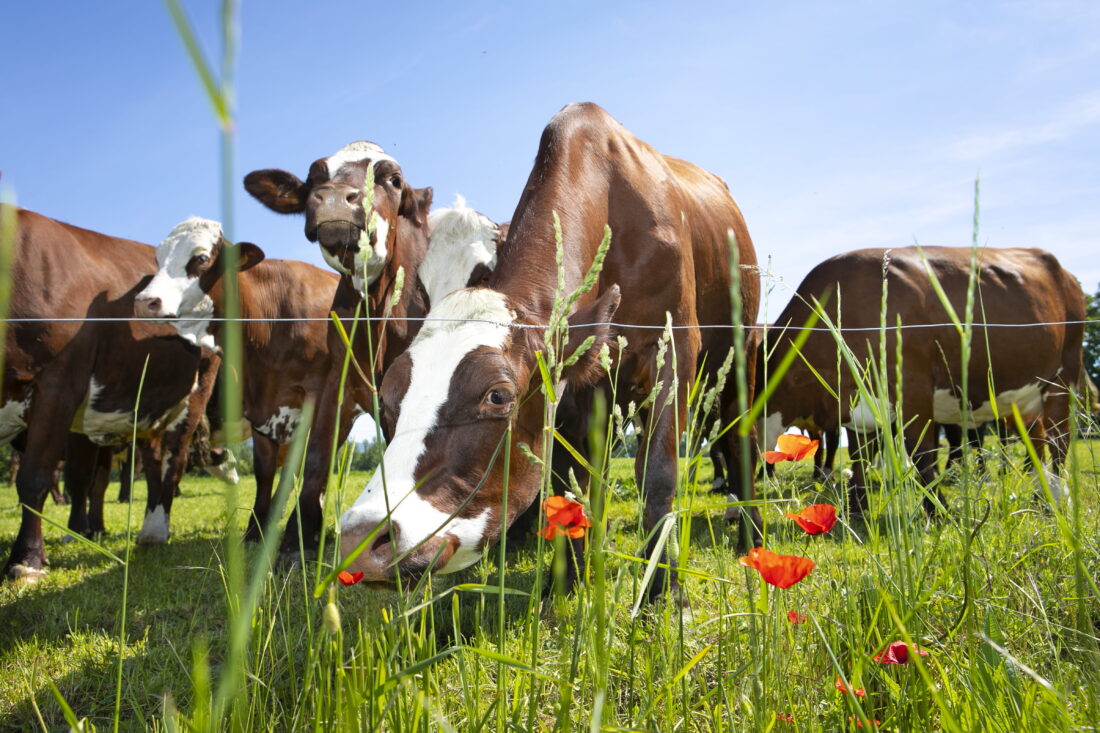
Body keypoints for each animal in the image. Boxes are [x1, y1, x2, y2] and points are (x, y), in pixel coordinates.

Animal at [1, 208, 221, 581]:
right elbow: (81, 479)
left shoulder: (59, 384)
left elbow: (37, 476)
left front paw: (27, 559)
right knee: (152, 462)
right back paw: (148, 531)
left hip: (195, 393)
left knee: (173, 460)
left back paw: (157, 530)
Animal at [338, 100, 761, 598]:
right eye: (388, 401)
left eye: (497, 395)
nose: (361, 539)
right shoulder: (571, 388)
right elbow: (566, 482)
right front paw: (568, 582)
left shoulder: (674, 344)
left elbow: (657, 470)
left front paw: (662, 588)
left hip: (741, 356)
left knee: (743, 442)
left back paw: (749, 537)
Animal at [756, 242, 1082, 510]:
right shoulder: (857, 404)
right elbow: (860, 456)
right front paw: (857, 507)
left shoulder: (913, 391)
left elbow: (922, 454)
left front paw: (939, 512)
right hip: (1020, 398)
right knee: (1036, 439)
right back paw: (1041, 498)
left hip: (1063, 377)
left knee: (1059, 439)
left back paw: (1054, 499)